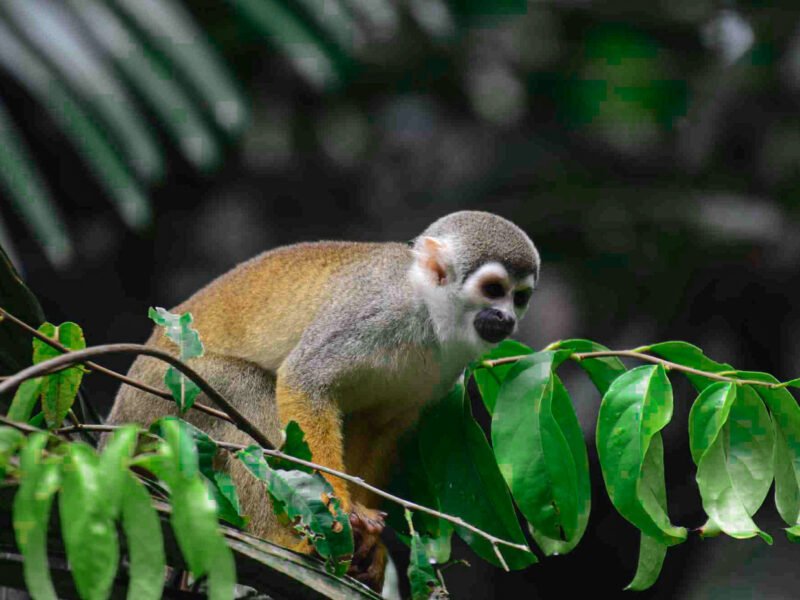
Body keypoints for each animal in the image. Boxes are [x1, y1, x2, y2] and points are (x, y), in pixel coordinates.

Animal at [106, 210, 540, 590]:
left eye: (519, 297)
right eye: (493, 290)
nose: (506, 319)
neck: (429, 316)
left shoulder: (446, 370)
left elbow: (380, 426)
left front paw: (367, 535)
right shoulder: (375, 312)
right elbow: (304, 380)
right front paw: (339, 509)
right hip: (164, 393)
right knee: (243, 392)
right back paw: (278, 539)